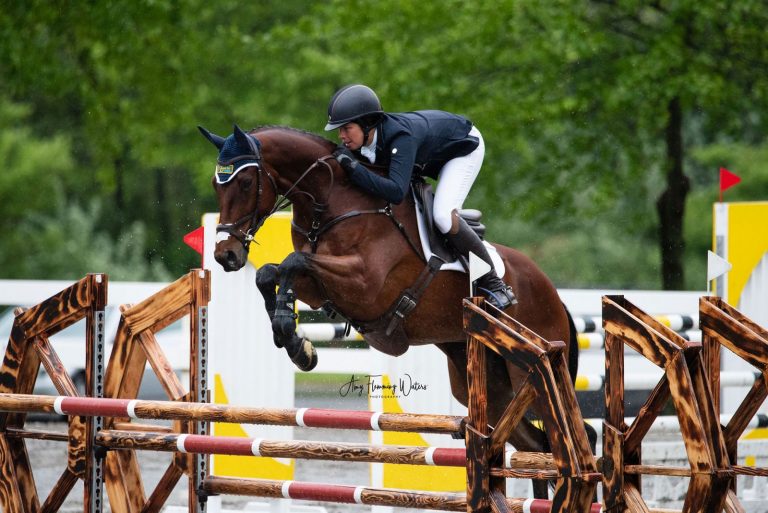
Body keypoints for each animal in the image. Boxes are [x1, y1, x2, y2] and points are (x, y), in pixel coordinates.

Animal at [200, 122, 592, 494]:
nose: (225, 255)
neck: (335, 200)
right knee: (534, 445)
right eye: (217, 185)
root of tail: (555, 296)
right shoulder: (320, 288)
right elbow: (270, 272)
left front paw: (293, 337)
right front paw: (297, 344)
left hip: (529, 371)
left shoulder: (364, 284)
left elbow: (292, 262)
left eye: (246, 182)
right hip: (486, 385)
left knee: (568, 436)